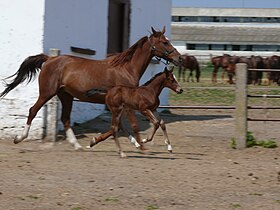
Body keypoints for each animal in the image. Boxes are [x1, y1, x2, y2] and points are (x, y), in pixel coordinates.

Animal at [0, 26, 182, 149]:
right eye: (165, 42)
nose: (179, 58)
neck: (126, 69)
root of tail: (49, 59)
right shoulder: (128, 105)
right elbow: (126, 125)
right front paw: (138, 143)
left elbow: (120, 126)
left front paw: (135, 143)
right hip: (47, 93)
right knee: (33, 110)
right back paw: (19, 138)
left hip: (65, 96)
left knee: (65, 119)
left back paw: (76, 145)